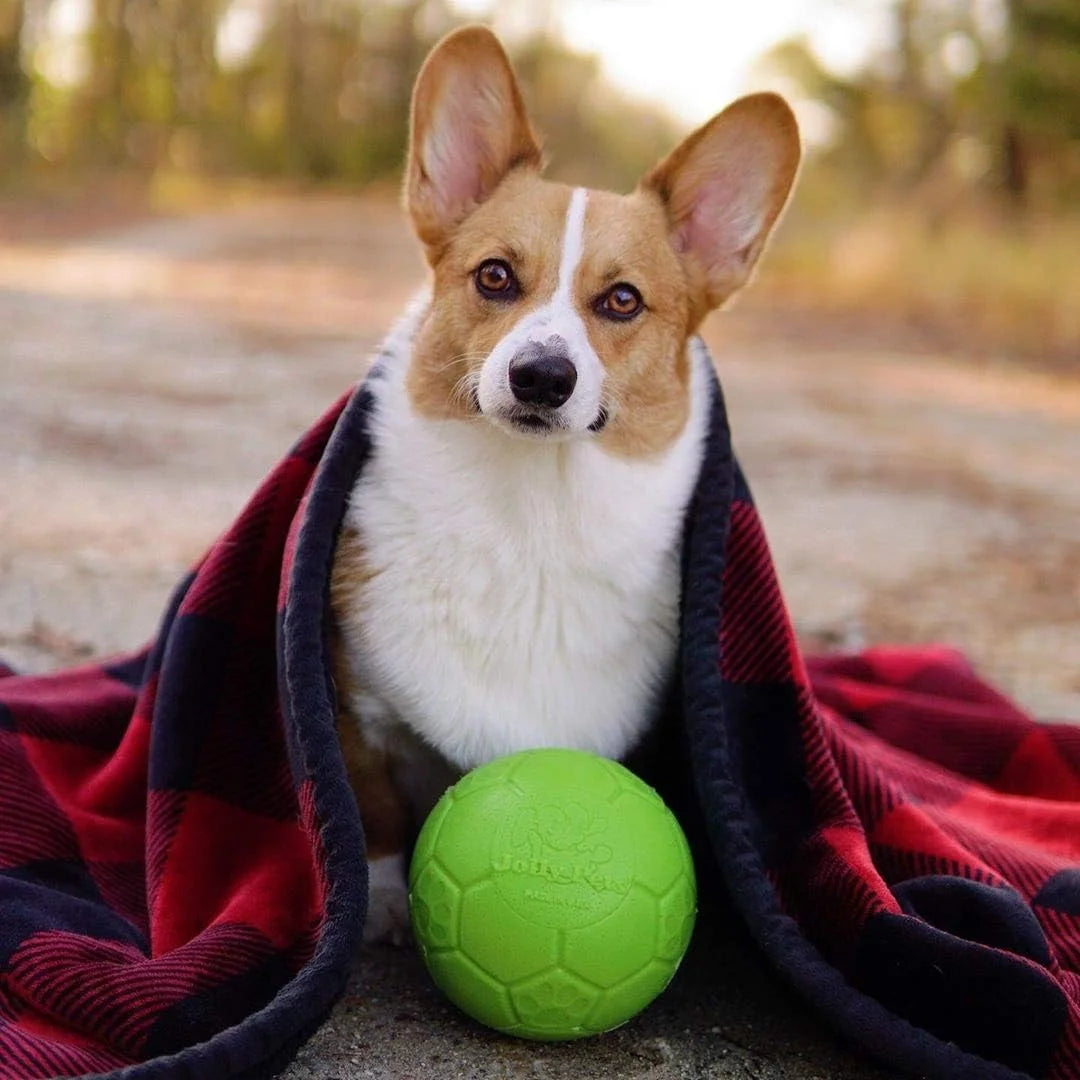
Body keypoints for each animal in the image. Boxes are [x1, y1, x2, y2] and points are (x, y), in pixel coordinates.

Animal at [330, 23, 803, 937]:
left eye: (622, 300)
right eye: (494, 276)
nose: (542, 377)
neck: (535, 518)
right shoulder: (354, 715)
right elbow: (373, 811)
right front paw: (381, 906)